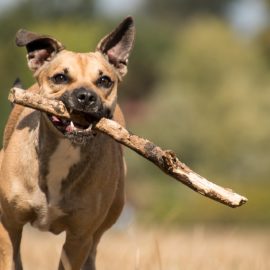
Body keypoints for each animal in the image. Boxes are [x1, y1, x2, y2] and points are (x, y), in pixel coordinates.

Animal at [0, 16, 135, 270]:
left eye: (104, 81)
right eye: (60, 78)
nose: (86, 97)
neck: (65, 149)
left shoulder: (79, 237)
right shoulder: (8, 224)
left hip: (104, 222)